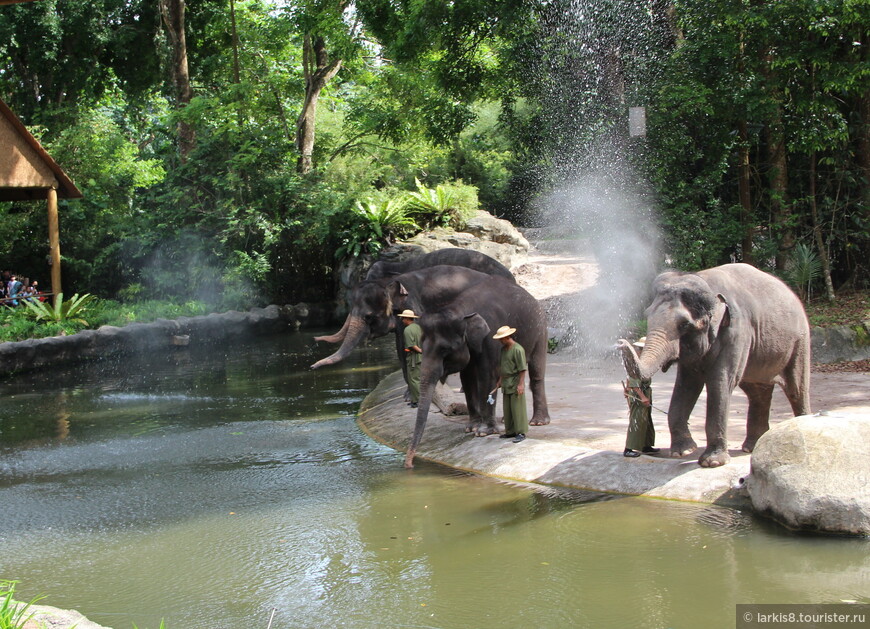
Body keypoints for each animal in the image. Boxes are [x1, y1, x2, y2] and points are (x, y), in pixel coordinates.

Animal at [404, 274, 552, 466]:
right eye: (421, 345)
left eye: (444, 350)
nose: (409, 464)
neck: (461, 310)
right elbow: (467, 379)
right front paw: (471, 427)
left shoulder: (490, 338)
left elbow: (487, 377)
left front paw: (483, 432)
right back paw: (505, 420)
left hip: (540, 331)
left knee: (536, 373)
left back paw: (538, 422)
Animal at [616, 262, 816, 468]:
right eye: (647, 316)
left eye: (684, 325)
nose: (621, 342)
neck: (707, 284)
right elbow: (685, 385)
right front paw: (682, 452)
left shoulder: (737, 332)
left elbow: (719, 382)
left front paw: (712, 462)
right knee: (757, 393)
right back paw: (751, 447)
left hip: (800, 341)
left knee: (796, 388)